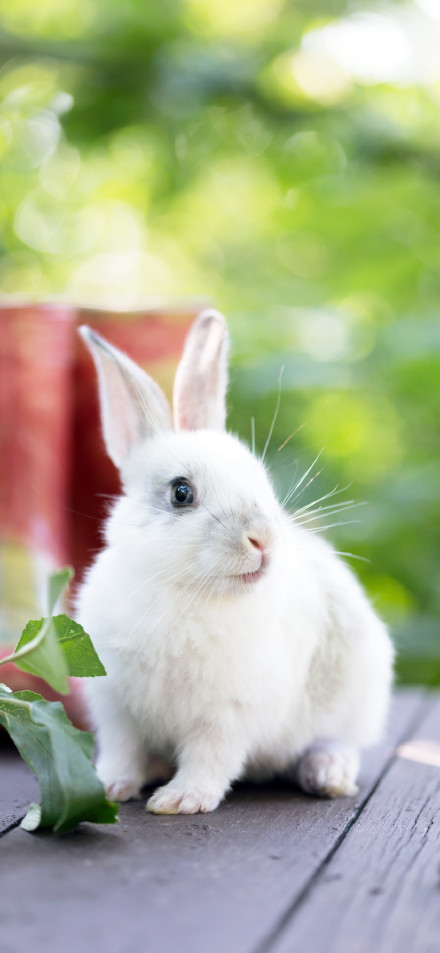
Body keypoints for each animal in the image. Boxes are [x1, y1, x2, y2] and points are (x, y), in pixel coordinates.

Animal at [76, 310, 393, 815]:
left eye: (260, 480)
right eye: (180, 492)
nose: (263, 539)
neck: (183, 591)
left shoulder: (227, 715)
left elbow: (211, 758)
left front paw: (180, 800)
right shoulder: (117, 707)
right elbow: (124, 751)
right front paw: (109, 786)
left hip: (352, 701)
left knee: (337, 743)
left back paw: (328, 774)